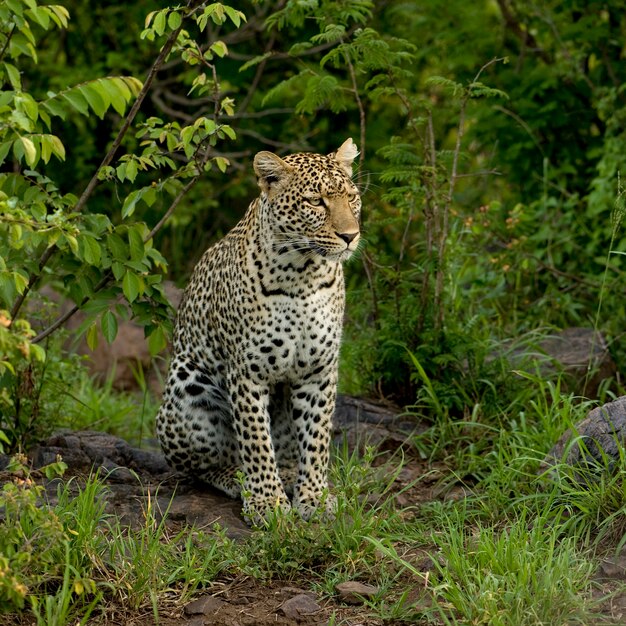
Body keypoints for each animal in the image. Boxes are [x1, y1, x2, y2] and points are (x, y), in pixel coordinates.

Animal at [156, 136, 360, 520]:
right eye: (316, 201)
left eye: (352, 197)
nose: (350, 236)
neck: (303, 275)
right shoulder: (248, 371)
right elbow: (255, 439)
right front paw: (267, 502)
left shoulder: (319, 370)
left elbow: (317, 439)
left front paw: (314, 497)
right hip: (186, 385)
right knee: (203, 464)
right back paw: (238, 479)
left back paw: (291, 475)